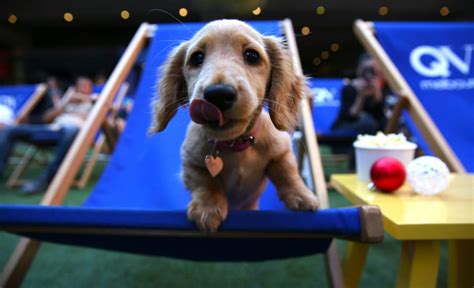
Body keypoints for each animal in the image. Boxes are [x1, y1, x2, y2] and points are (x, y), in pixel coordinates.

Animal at [150, 19, 318, 232]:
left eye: (252, 56)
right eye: (197, 58)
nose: (218, 94)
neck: (235, 145)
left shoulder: (282, 151)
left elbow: (287, 172)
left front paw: (301, 195)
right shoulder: (190, 162)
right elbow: (204, 182)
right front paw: (208, 207)